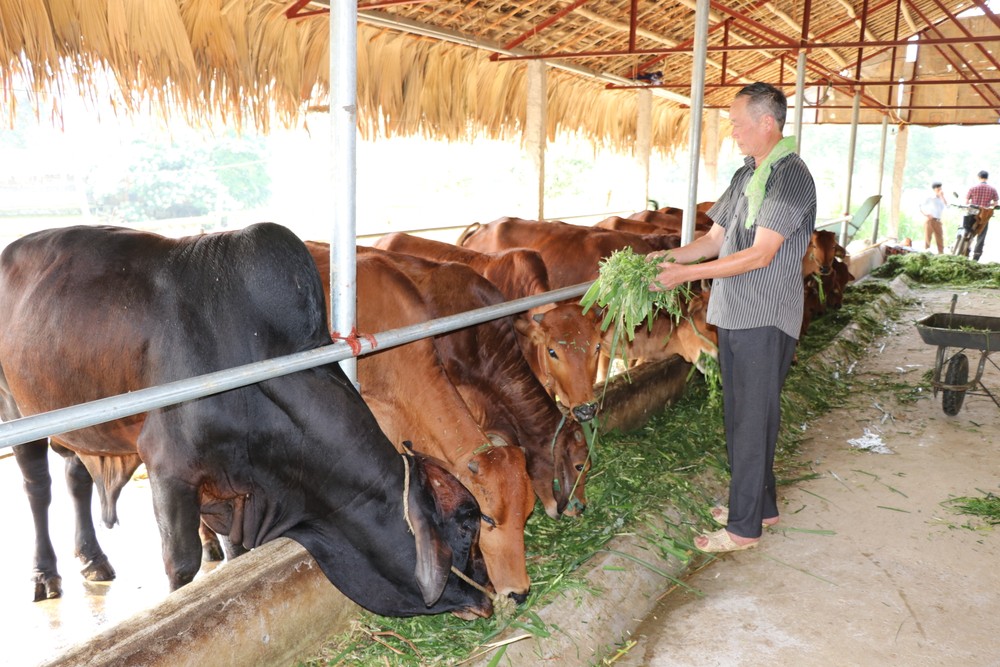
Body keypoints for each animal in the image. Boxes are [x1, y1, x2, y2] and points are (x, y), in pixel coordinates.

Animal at [0, 224, 492, 620]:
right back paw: (45, 576)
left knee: (75, 475)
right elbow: (182, 565)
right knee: (37, 487)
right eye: (465, 525)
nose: (490, 598)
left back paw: (94, 559)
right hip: (16, 411)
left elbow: (235, 552)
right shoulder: (168, 470)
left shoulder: (234, 493)